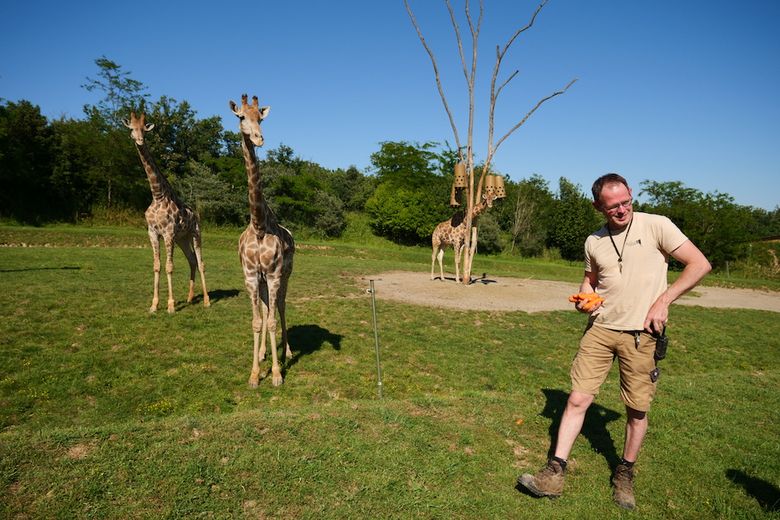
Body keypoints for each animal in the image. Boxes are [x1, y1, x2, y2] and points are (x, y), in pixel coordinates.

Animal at [122, 111, 209, 312]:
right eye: (132, 129)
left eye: (144, 129)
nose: (139, 140)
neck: (158, 195)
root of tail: (196, 215)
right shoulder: (153, 232)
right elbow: (157, 266)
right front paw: (154, 305)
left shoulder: (168, 233)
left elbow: (169, 266)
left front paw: (170, 305)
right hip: (182, 239)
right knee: (192, 260)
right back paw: (190, 298)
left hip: (195, 234)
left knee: (200, 262)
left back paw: (207, 301)